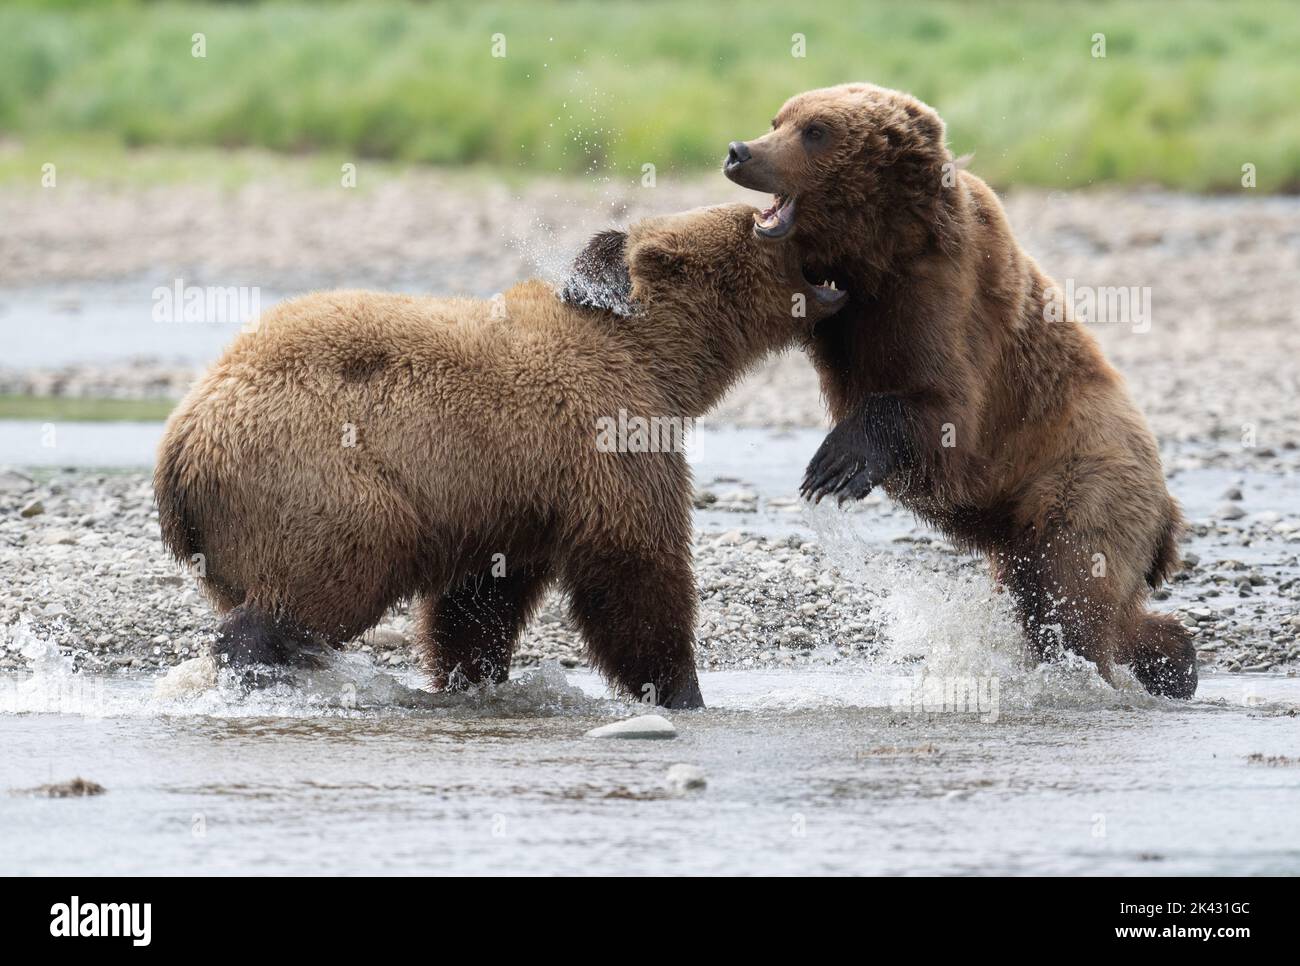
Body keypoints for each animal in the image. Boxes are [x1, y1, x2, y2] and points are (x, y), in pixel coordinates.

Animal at [154, 205, 842, 712]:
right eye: (758, 219)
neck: (660, 358)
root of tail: (178, 448)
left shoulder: (513, 498)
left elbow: (480, 602)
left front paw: (474, 677)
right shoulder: (608, 439)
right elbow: (636, 568)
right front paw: (682, 691)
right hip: (318, 472)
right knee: (329, 576)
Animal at [722, 83, 1196, 696]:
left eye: (816, 131)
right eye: (778, 119)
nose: (739, 151)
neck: (879, 251)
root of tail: (1168, 505)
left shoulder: (949, 300)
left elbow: (942, 408)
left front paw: (835, 465)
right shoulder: (843, 307)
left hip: (1085, 477)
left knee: (1074, 589)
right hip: (1029, 527)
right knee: (1063, 599)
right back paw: (1174, 659)